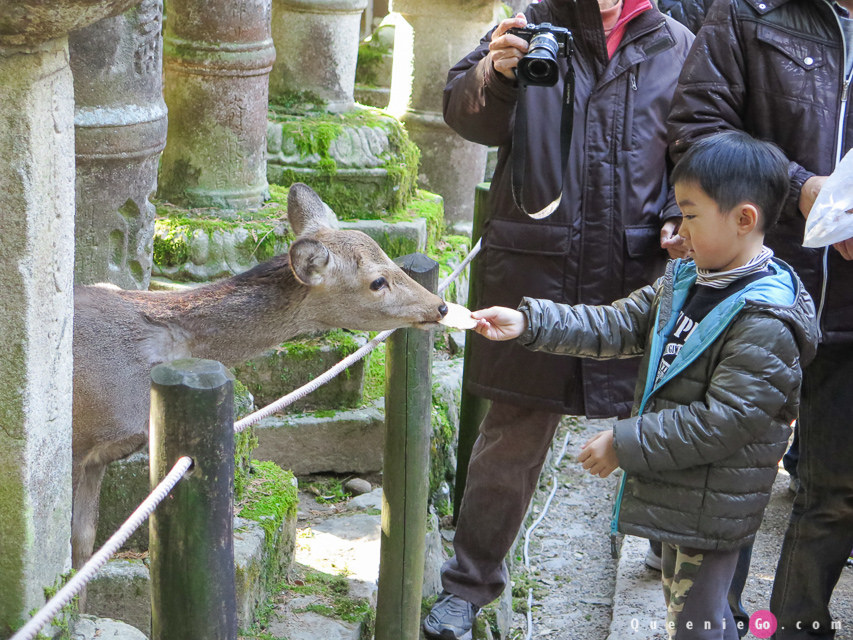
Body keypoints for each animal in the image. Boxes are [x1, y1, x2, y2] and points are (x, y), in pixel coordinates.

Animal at [70, 182, 450, 568]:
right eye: (377, 281)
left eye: (389, 258)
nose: (440, 306)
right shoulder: (77, 441)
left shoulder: (101, 455)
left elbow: (85, 543)